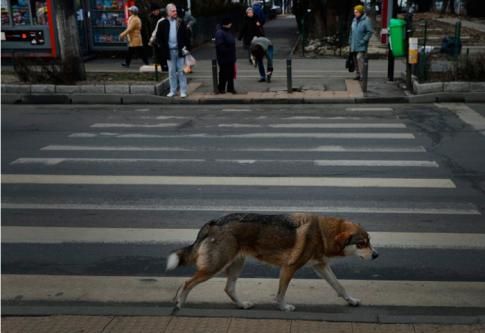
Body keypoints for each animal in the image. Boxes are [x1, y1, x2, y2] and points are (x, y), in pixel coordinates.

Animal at [166, 213, 378, 312]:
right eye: (361, 244)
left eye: (369, 241)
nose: (376, 255)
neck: (322, 232)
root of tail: (213, 222)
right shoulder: (289, 268)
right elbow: (280, 294)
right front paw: (283, 308)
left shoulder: (321, 266)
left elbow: (339, 286)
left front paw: (351, 301)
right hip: (215, 267)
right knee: (187, 283)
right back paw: (179, 303)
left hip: (236, 265)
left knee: (229, 289)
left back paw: (242, 305)